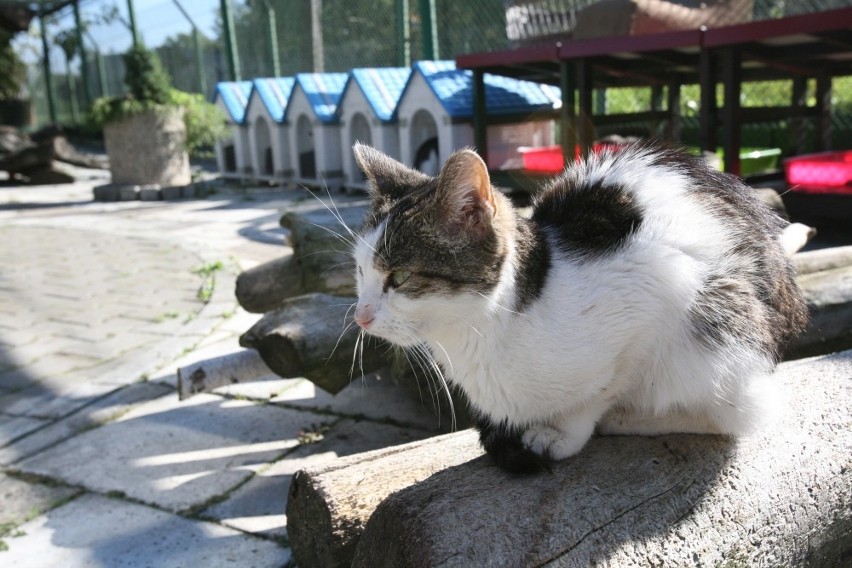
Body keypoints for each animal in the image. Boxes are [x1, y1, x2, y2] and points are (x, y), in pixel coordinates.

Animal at [346, 141, 804, 474]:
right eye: (360, 270)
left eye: (400, 277)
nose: (360, 316)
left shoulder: (660, 289)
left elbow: (603, 389)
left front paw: (563, 432)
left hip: (724, 334)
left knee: (737, 414)